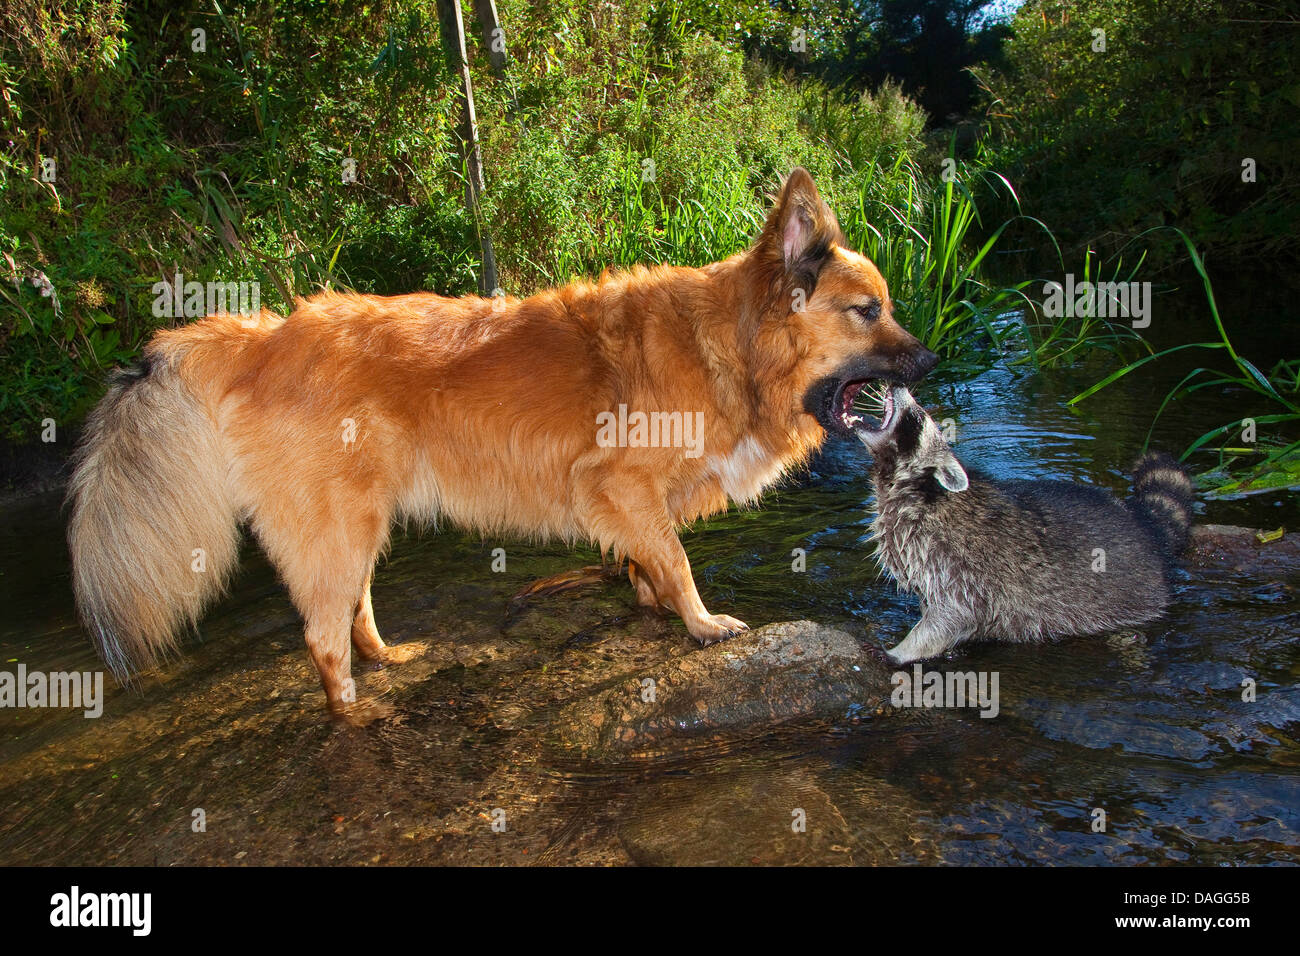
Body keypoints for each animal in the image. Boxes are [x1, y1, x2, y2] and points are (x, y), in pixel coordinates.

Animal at [68, 170, 935, 712]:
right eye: (868, 311)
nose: (929, 362)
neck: (727, 347)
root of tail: (260, 335)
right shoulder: (619, 485)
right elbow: (679, 561)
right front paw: (701, 624)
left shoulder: (636, 506)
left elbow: (650, 563)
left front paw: (654, 611)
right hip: (338, 522)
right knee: (320, 638)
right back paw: (355, 711)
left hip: (361, 520)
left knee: (353, 608)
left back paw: (387, 659)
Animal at [852, 387, 1196, 665]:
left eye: (918, 417)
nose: (898, 385)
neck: (914, 487)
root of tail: (1143, 523)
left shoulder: (956, 560)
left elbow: (953, 615)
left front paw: (903, 651)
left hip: (1139, 595)